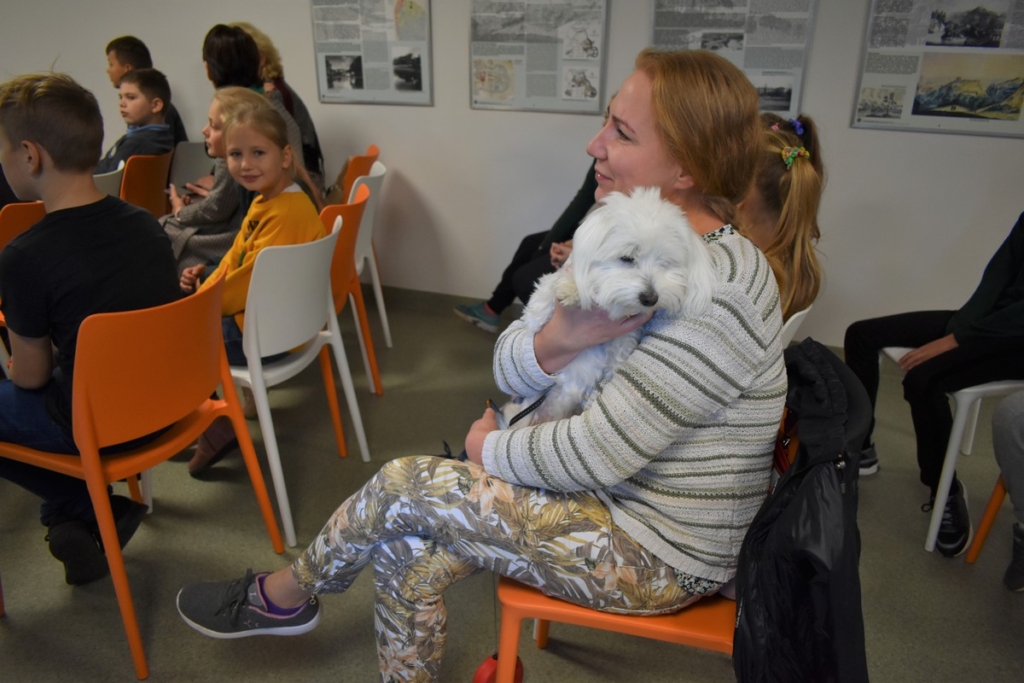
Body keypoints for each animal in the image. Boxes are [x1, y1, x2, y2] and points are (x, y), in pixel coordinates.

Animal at [501, 187, 718, 428]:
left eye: (665, 262)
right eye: (627, 258)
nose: (650, 298)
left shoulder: (626, 336)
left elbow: (619, 355)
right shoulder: (547, 292)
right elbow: (543, 303)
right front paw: (573, 289)